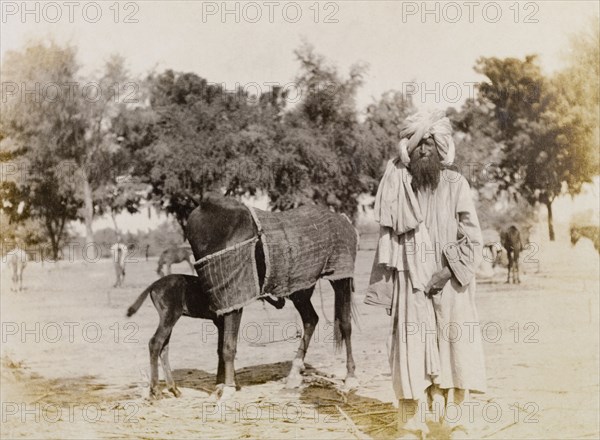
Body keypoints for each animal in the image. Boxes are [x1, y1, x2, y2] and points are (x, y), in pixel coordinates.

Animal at [185, 196, 358, 402]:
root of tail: (342, 219)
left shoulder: (235, 299)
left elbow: (228, 346)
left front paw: (228, 389)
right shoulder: (223, 301)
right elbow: (221, 347)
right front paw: (221, 385)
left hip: (340, 278)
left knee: (345, 325)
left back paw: (350, 377)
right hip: (300, 287)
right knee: (311, 319)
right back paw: (294, 374)